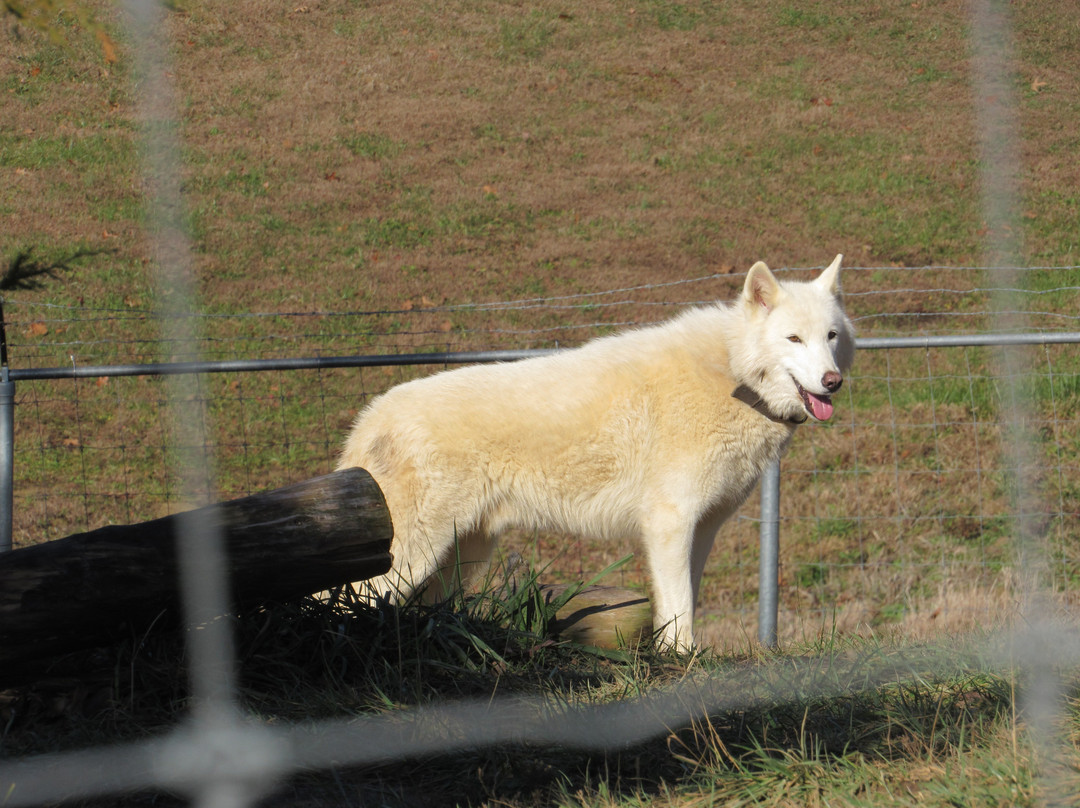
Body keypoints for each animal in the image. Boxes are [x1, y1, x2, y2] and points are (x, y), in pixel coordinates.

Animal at [337, 255, 855, 651]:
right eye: (793, 339)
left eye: (831, 336)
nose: (832, 382)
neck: (733, 378)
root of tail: (368, 419)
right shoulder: (669, 524)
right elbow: (680, 608)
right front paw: (682, 659)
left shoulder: (703, 529)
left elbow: (684, 601)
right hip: (411, 560)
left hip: (458, 559)